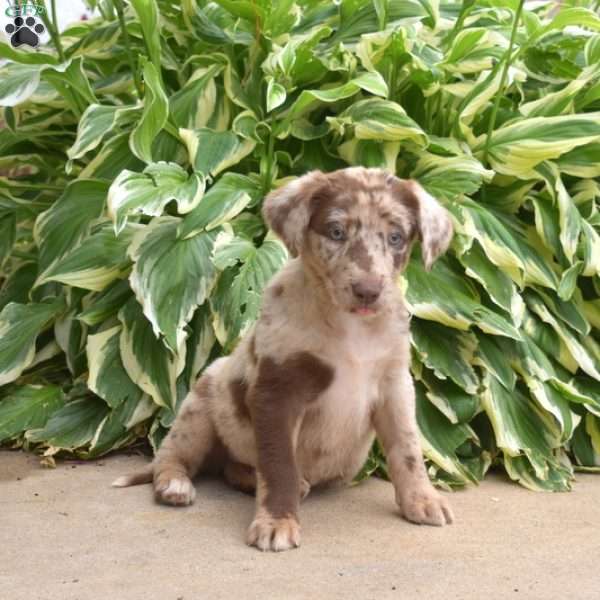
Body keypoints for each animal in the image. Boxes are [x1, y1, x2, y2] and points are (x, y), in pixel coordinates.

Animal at [112, 166, 452, 552]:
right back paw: (175, 484)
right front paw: (276, 522)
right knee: (171, 456)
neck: (350, 328)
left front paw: (422, 499)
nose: (368, 291)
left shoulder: (395, 384)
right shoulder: (277, 390)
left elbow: (407, 447)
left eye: (396, 237)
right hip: (198, 406)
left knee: (233, 468)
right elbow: (278, 465)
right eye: (336, 231)